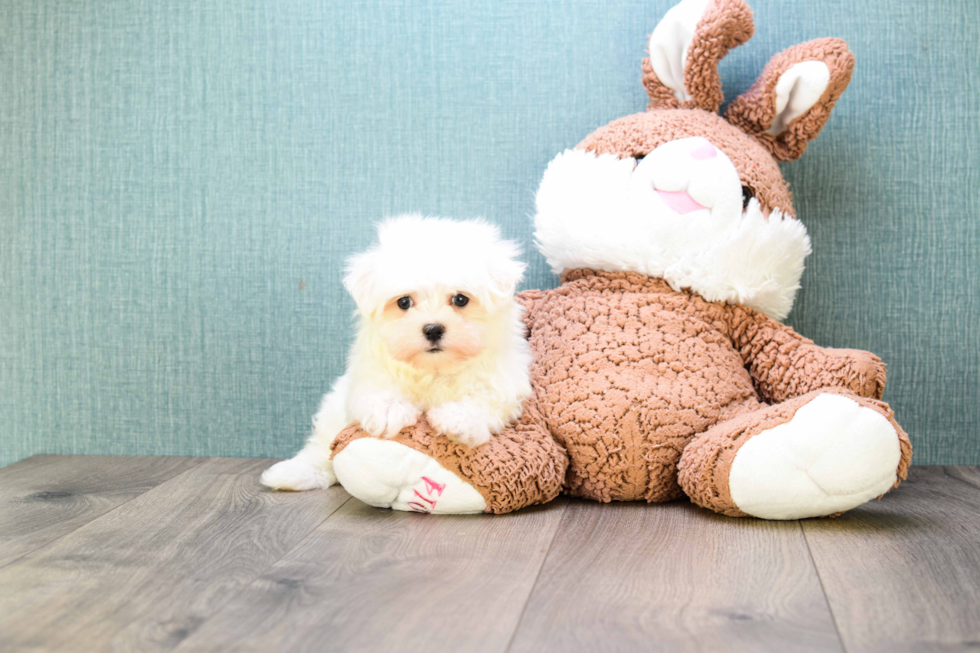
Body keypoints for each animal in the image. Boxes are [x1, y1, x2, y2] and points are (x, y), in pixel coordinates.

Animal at [260, 214, 532, 488]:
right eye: (404, 302)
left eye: (460, 299)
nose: (433, 329)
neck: (433, 369)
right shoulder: (370, 370)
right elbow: (378, 388)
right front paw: (390, 411)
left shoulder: (503, 379)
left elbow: (486, 397)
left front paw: (457, 418)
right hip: (332, 411)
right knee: (321, 447)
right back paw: (293, 473)